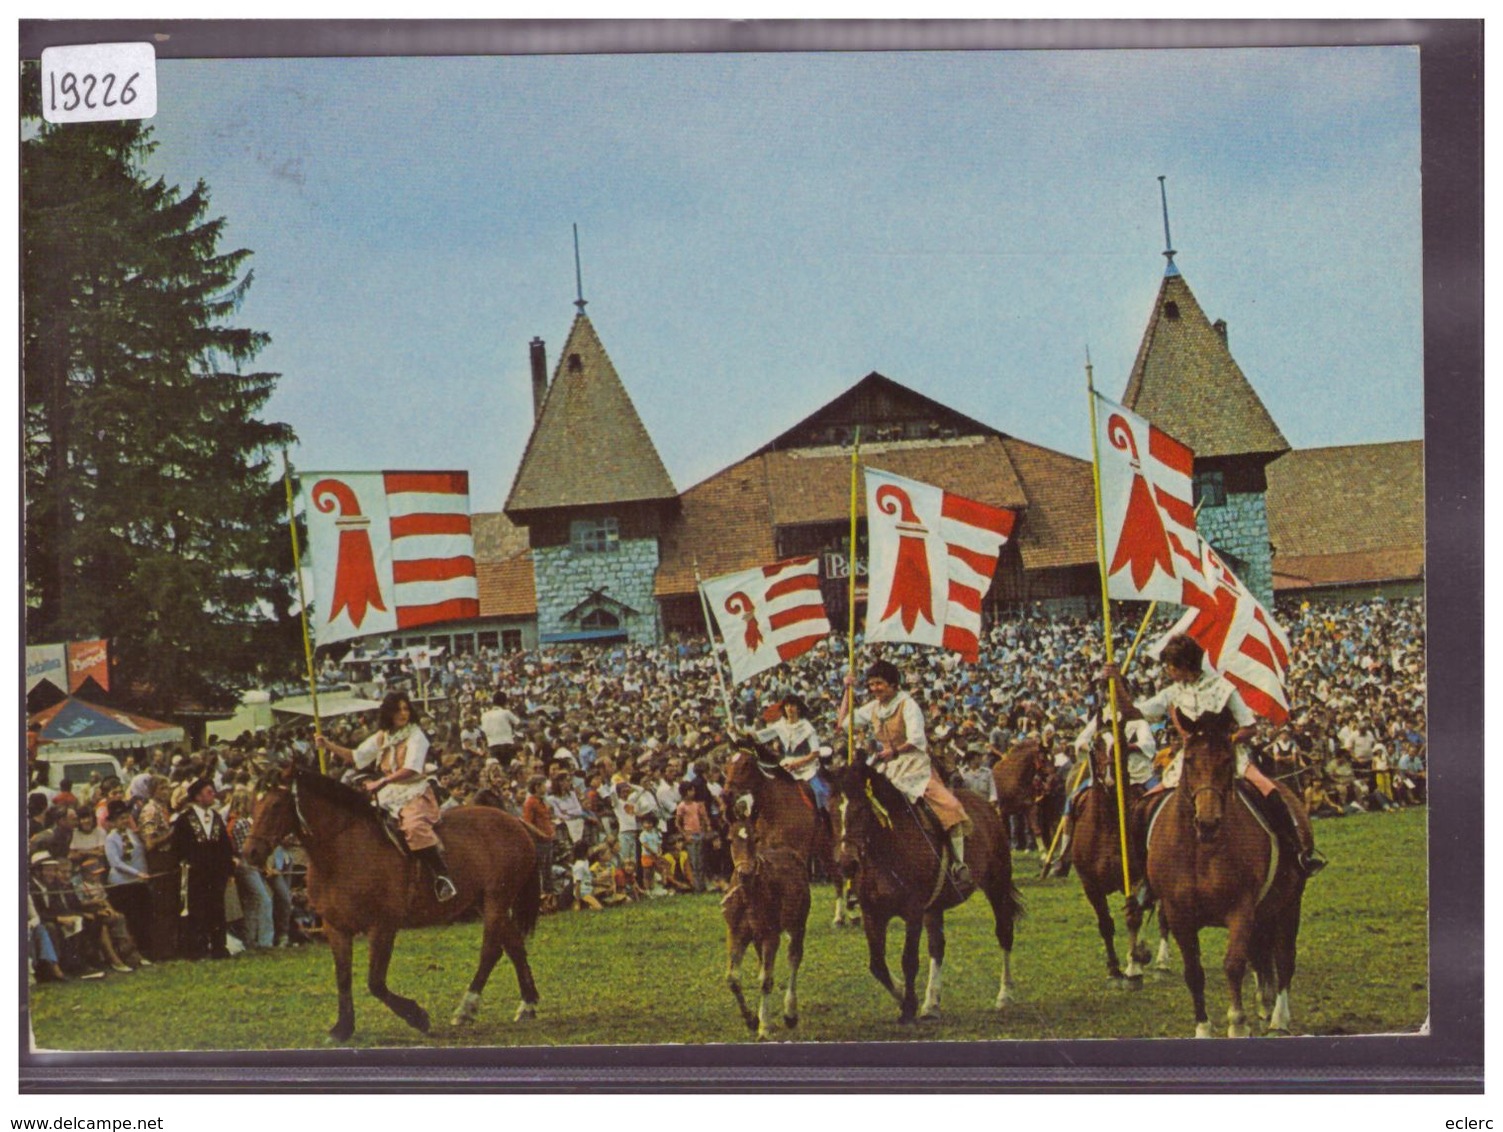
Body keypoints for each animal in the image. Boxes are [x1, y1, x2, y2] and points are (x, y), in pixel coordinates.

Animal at [246, 769, 547, 1040]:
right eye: (253, 803)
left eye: (275, 805)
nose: (249, 852)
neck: (345, 850)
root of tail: (515, 821)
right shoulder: (336, 927)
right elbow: (343, 977)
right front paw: (343, 1028)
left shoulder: (383, 926)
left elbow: (376, 982)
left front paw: (418, 1017)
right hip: (485, 902)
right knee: (514, 946)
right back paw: (527, 1004)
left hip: (496, 900)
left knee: (491, 951)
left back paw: (466, 1008)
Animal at [718, 742, 859, 926]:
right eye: (727, 765)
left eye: (746, 764)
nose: (725, 795)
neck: (776, 807)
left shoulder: (797, 852)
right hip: (822, 848)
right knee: (837, 875)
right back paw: (841, 916)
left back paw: (849, 913)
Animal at [718, 817, 811, 1040]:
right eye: (730, 839)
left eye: (756, 838)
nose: (745, 872)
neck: (749, 895)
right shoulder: (736, 933)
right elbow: (732, 978)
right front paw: (751, 1020)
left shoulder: (771, 936)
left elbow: (766, 981)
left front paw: (765, 1027)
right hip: (757, 938)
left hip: (798, 924)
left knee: (794, 958)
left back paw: (790, 1014)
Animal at [829, 763, 1028, 1022]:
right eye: (832, 810)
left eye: (861, 808)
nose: (846, 863)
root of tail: (986, 806)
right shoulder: (873, 913)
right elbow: (877, 964)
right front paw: (903, 994)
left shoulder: (913, 912)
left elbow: (909, 960)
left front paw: (908, 1006)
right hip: (934, 907)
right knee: (937, 947)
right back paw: (931, 1003)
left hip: (997, 885)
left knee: (1004, 932)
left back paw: (1004, 995)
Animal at [1148, 709, 1304, 1040]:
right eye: (1190, 760)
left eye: (1225, 761)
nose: (1208, 822)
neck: (1201, 849)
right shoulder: (1178, 913)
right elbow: (1194, 971)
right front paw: (1203, 1027)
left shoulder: (1240, 909)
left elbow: (1234, 964)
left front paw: (1237, 1023)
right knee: (1262, 957)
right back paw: (1265, 1005)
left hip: (1289, 905)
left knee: (1283, 958)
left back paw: (1279, 1019)